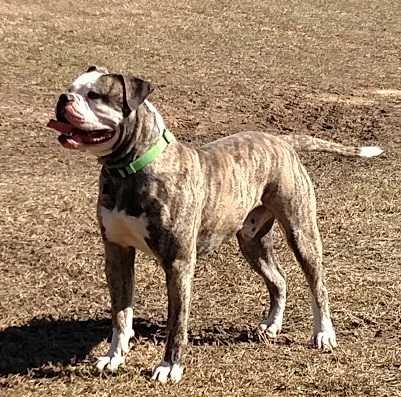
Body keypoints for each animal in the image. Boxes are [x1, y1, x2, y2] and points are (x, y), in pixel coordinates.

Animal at [48, 66, 382, 382]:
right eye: (71, 87)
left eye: (96, 95)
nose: (63, 98)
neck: (129, 171)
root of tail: (281, 139)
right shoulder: (116, 252)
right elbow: (121, 313)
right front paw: (114, 357)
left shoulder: (179, 263)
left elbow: (177, 322)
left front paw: (169, 367)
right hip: (251, 241)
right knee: (279, 279)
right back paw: (271, 325)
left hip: (301, 233)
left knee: (317, 284)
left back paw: (323, 333)